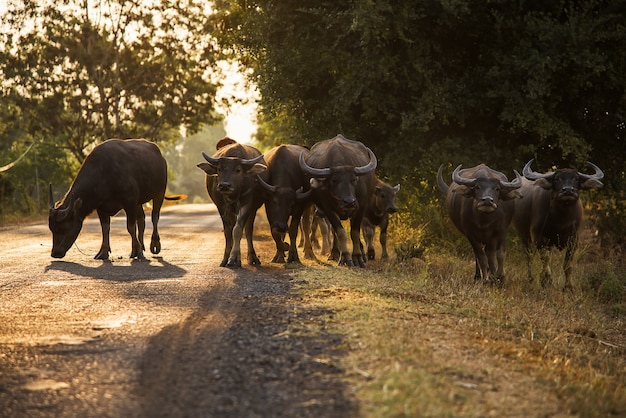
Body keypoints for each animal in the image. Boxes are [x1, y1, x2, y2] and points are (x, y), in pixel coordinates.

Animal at [47, 139, 184, 260]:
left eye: (63, 228)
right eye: (51, 229)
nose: (55, 253)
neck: (104, 174)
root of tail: (161, 157)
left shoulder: (129, 202)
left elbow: (130, 227)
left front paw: (139, 251)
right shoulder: (101, 207)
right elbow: (105, 228)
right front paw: (103, 252)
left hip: (159, 193)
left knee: (154, 217)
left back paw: (153, 245)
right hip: (138, 202)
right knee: (141, 220)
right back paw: (138, 248)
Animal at [298, 134, 376, 268]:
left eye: (354, 179)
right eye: (334, 180)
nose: (349, 202)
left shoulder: (360, 207)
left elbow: (355, 233)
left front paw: (358, 258)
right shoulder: (328, 209)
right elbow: (340, 232)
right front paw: (345, 258)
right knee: (334, 231)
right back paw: (335, 253)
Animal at [510, 158, 604, 290]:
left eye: (576, 179)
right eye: (557, 179)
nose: (568, 190)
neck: (561, 219)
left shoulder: (574, 239)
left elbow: (567, 264)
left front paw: (568, 287)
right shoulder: (538, 237)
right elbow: (545, 260)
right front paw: (546, 280)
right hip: (524, 236)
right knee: (529, 257)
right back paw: (531, 279)